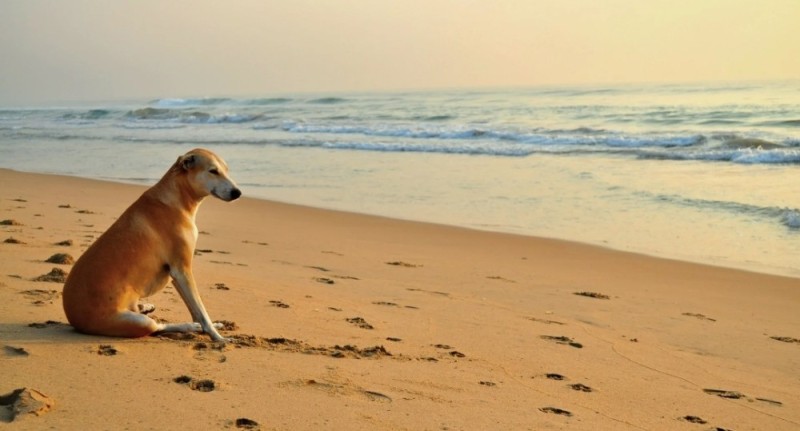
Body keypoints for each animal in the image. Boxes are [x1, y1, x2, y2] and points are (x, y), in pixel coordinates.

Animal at [63, 150, 241, 342]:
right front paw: (217, 336)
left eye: (226, 170)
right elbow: (201, 312)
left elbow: (196, 310)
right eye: (213, 171)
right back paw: (191, 325)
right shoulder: (182, 270)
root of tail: (74, 320)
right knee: (158, 327)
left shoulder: (177, 275)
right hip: (137, 322)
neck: (176, 198)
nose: (237, 192)